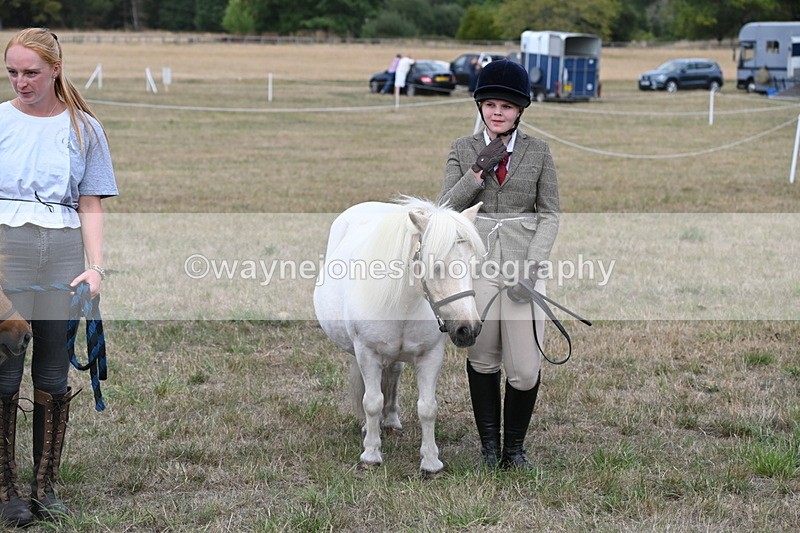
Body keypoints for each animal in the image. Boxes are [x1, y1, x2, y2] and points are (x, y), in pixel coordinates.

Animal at [313, 197, 486, 477]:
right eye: (436, 266)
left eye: (474, 266)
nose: (468, 329)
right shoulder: (367, 353)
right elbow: (372, 401)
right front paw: (371, 454)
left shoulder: (430, 356)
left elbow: (427, 407)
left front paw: (431, 462)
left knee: (393, 374)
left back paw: (391, 420)